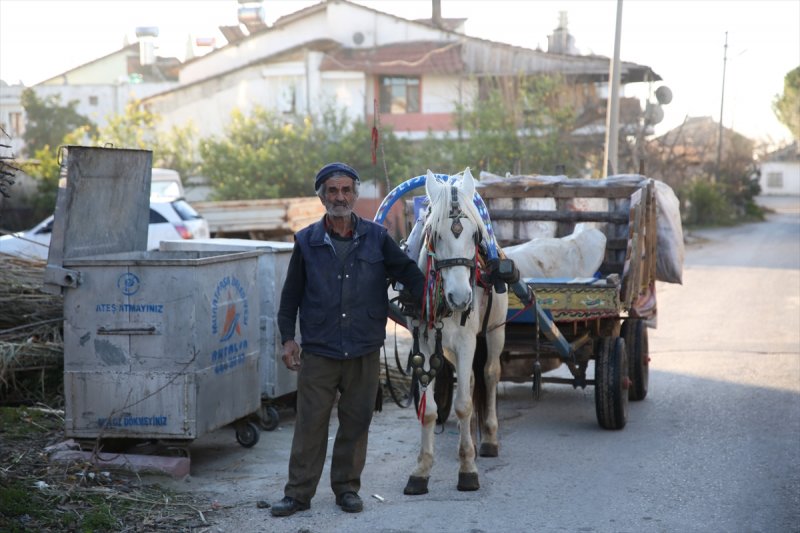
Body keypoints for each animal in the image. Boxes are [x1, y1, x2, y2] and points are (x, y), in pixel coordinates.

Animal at [404, 168, 510, 492]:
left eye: (475, 235)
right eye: (435, 234)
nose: (461, 298)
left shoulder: (467, 342)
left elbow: (463, 405)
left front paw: (468, 469)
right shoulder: (425, 344)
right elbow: (428, 410)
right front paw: (421, 470)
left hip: (495, 332)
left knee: (489, 375)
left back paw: (488, 439)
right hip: (448, 349)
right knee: (472, 381)